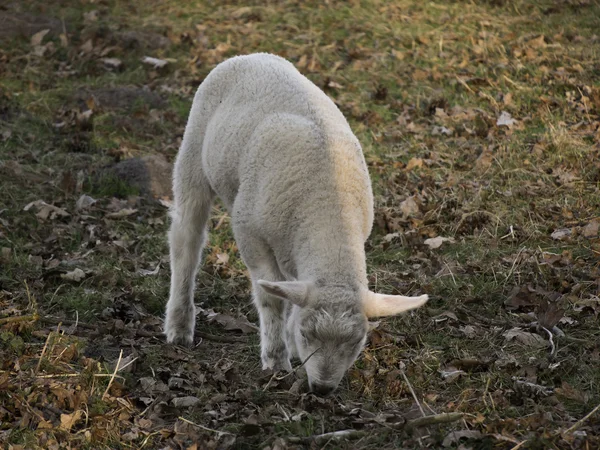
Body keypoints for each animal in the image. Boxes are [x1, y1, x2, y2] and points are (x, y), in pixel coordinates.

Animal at [164, 52, 426, 396]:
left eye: (357, 343)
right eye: (307, 334)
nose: (323, 389)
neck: (329, 214)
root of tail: (253, 56)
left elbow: (289, 296)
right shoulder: (251, 234)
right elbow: (271, 298)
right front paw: (276, 359)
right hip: (194, 152)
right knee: (186, 239)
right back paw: (179, 325)